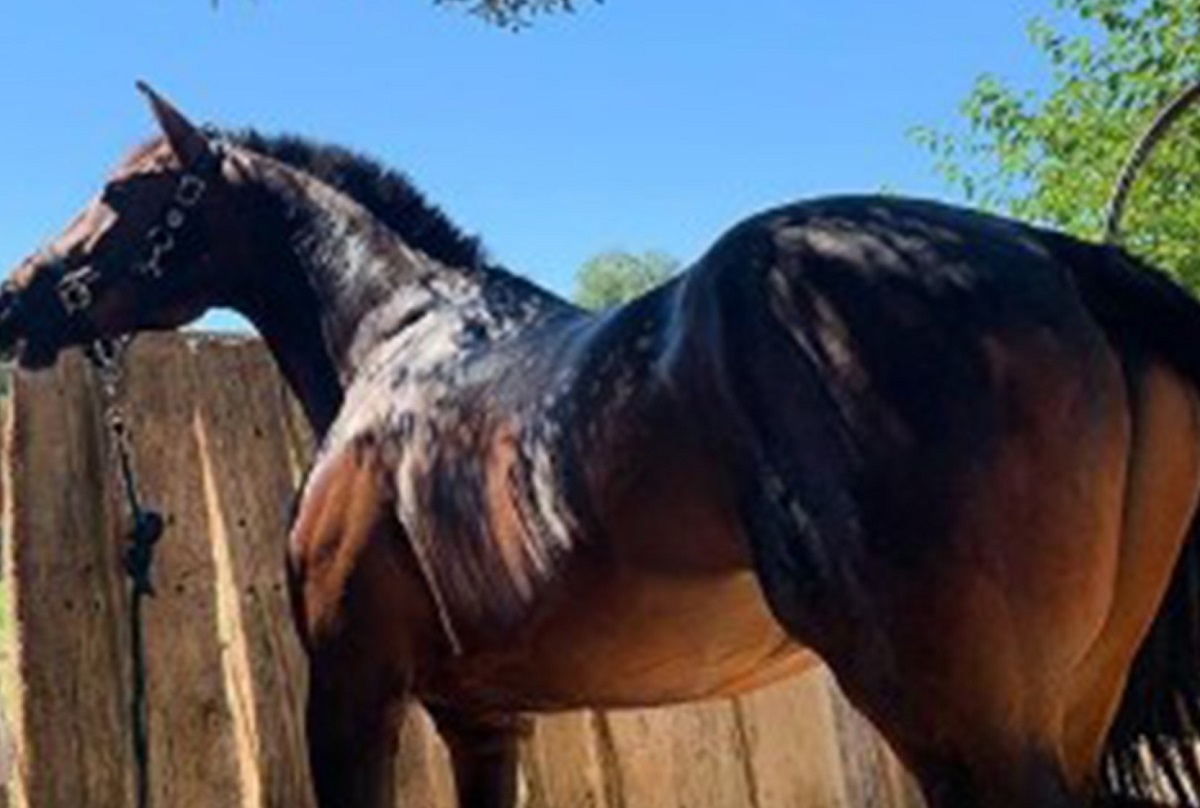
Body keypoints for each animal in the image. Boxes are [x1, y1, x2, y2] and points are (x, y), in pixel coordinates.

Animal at [3, 85, 1200, 808]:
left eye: (122, 192)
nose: (22, 296)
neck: (399, 336)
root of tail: (1064, 260)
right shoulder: (483, 719)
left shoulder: (352, 687)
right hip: (1072, 706)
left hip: (960, 716)